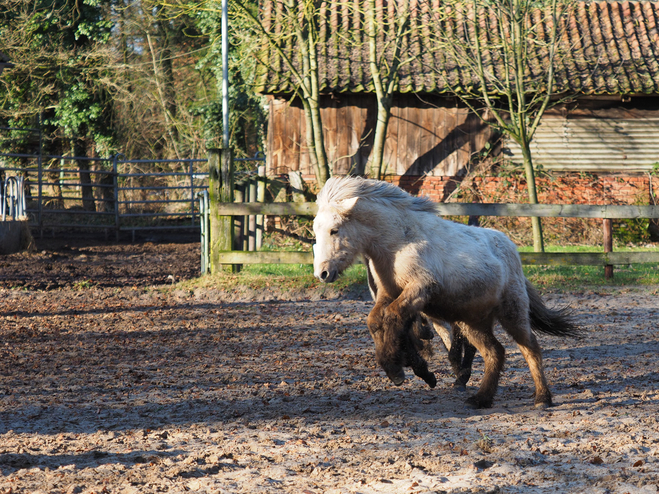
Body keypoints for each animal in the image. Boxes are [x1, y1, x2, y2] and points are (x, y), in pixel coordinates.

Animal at [314, 177, 576, 410]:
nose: (322, 273)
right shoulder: (387, 294)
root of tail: (511, 248)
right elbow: (376, 321)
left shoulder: (419, 290)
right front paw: (402, 367)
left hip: (512, 313)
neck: (398, 242)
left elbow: (393, 317)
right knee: (495, 352)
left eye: (334, 230)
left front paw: (397, 369)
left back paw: (542, 399)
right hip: (473, 323)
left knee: (530, 348)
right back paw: (480, 399)